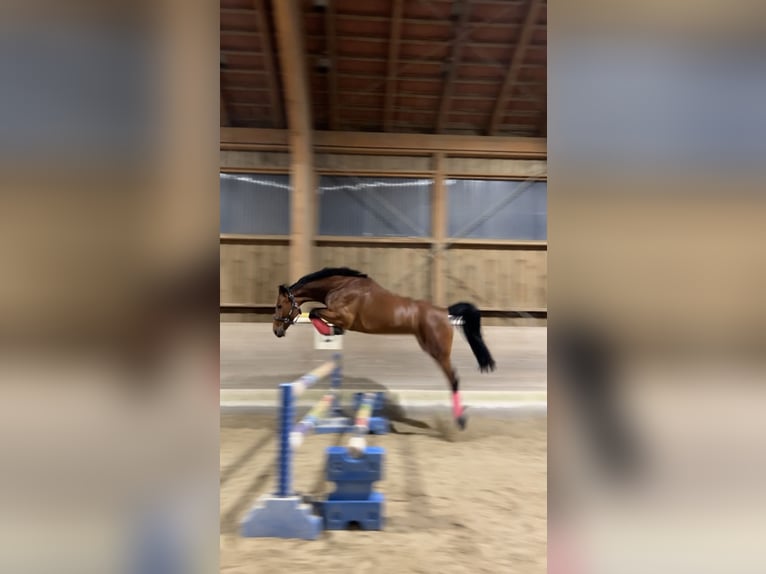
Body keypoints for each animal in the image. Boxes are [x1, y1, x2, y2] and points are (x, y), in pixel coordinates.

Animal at [272, 267, 496, 430]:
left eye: (279, 306)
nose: (276, 331)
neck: (341, 286)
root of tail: (444, 312)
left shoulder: (343, 316)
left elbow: (315, 313)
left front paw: (331, 331)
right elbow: (316, 313)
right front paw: (332, 331)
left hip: (438, 352)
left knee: (454, 379)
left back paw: (460, 421)